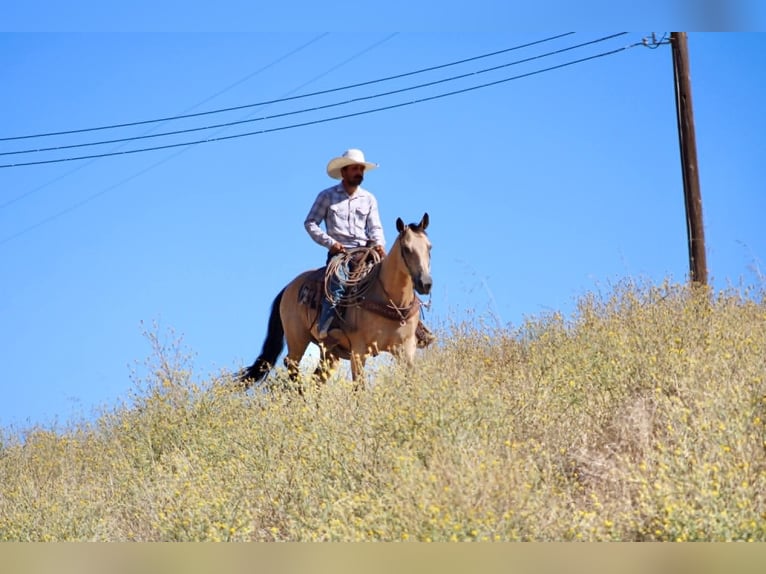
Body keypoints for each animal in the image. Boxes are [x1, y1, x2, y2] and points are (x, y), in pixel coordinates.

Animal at [239, 213, 432, 389]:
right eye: (406, 248)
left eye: (430, 247)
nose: (425, 283)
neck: (391, 300)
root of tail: (288, 287)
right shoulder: (358, 350)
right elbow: (359, 388)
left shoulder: (406, 349)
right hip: (297, 339)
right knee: (291, 365)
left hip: (330, 353)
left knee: (317, 378)